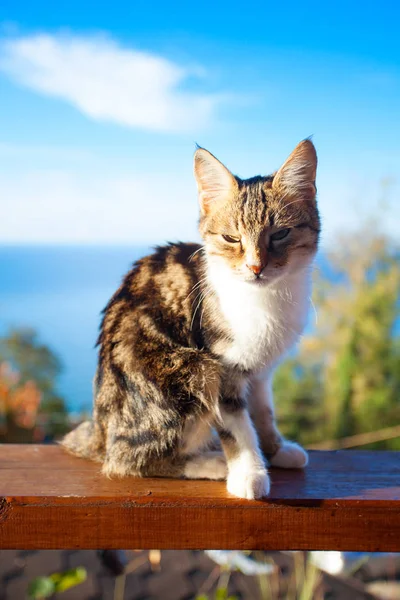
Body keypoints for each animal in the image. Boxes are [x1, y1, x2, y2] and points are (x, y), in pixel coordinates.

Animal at [61, 138, 318, 500]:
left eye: (280, 234)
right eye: (231, 238)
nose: (256, 267)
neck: (266, 299)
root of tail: (101, 432)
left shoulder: (261, 371)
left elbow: (264, 411)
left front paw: (276, 449)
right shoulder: (223, 366)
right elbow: (237, 426)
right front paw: (249, 473)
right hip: (190, 369)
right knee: (127, 461)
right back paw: (211, 463)